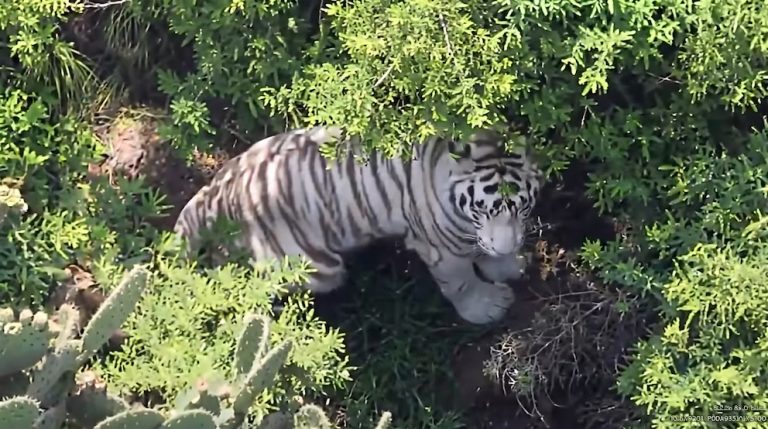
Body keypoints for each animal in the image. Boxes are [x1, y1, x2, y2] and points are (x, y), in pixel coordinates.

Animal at [173, 126, 543, 325]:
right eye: (482, 209)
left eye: (523, 207)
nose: (508, 245)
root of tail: (213, 193)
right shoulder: (441, 247)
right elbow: (462, 282)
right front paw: (488, 307)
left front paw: (507, 263)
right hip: (312, 267)